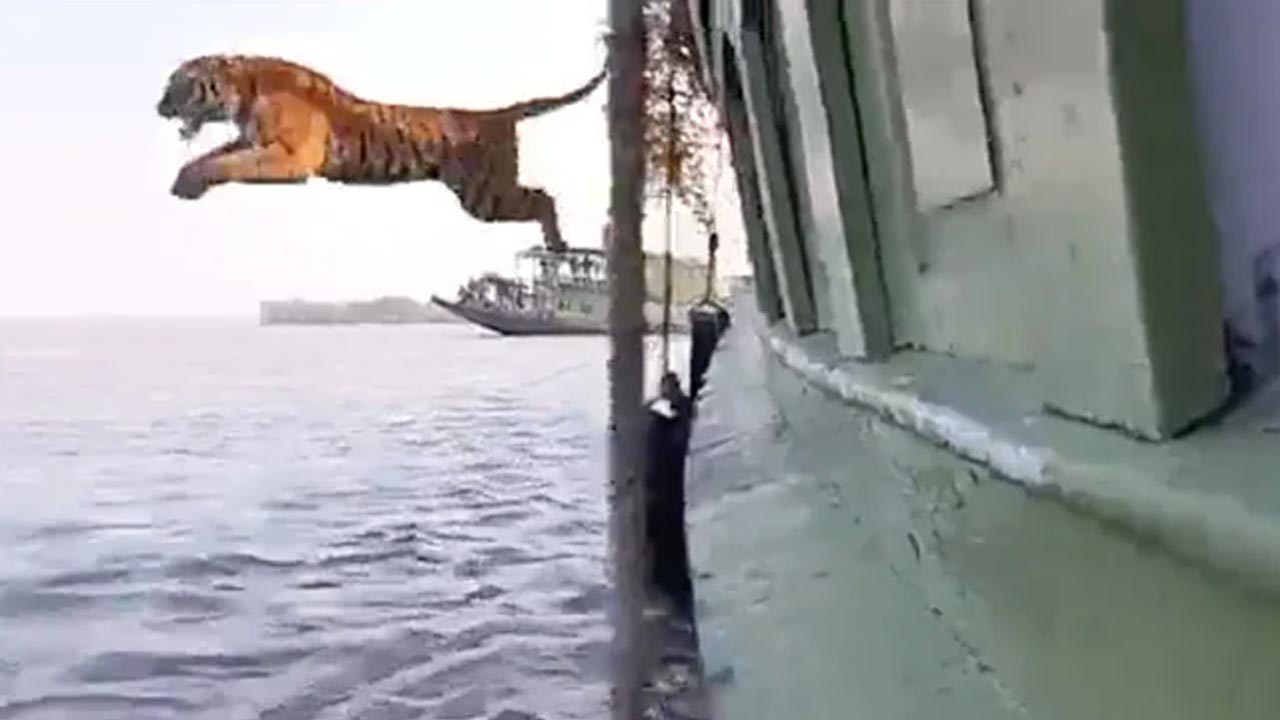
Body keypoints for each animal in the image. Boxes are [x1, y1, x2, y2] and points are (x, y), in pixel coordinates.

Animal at [153, 53, 604, 249]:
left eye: (176, 84)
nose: (158, 108)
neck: (243, 91)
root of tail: (496, 114)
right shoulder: (252, 138)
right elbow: (214, 156)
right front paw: (184, 182)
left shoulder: (290, 157)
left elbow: (230, 163)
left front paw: (190, 182)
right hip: (483, 196)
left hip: (487, 195)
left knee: (543, 199)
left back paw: (558, 245)